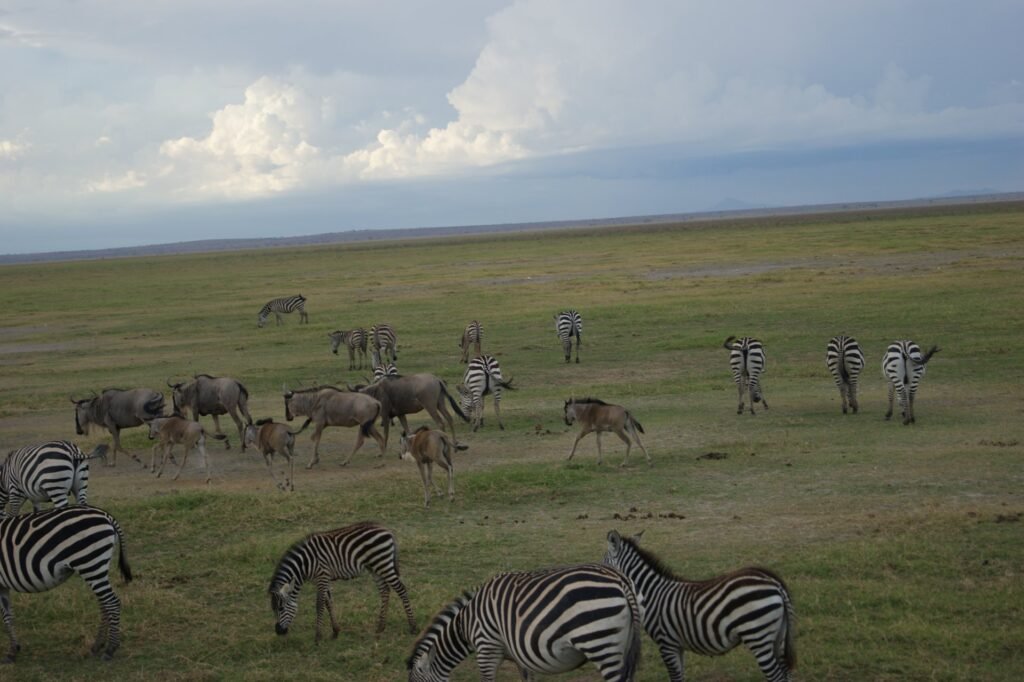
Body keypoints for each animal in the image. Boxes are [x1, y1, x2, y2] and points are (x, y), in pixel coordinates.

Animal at [0, 505, 132, 662]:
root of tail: (106, 515)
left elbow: (5, 616)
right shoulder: (2, 586)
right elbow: (8, 616)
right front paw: (13, 650)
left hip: (90, 563)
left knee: (112, 602)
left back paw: (110, 649)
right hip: (96, 567)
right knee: (104, 603)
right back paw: (97, 645)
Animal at [268, 521, 417, 643]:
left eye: (281, 608)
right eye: (274, 609)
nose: (278, 631)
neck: (306, 563)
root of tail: (387, 530)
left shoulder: (322, 577)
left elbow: (319, 605)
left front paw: (318, 637)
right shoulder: (323, 579)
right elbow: (328, 603)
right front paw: (335, 631)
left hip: (383, 563)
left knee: (401, 589)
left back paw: (412, 627)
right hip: (375, 567)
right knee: (385, 590)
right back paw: (380, 627)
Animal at [407, 563, 642, 682]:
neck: (467, 624)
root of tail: (620, 580)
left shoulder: (487, 648)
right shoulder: (518, 652)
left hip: (599, 643)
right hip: (621, 644)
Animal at [603, 530, 796, 682]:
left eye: (603, 561)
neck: (652, 593)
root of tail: (773, 581)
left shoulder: (666, 643)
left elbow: (675, 678)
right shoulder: (677, 645)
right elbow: (680, 676)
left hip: (758, 636)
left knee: (776, 676)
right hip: (777, 636)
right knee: (785, 673)